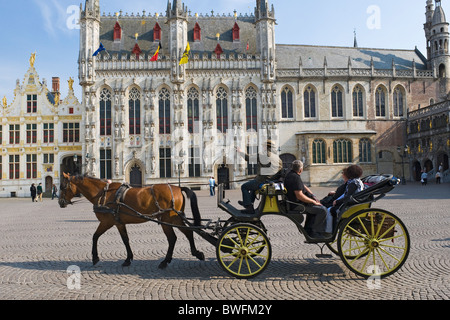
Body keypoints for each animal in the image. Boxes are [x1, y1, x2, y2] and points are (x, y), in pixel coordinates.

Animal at [59, 172, 206, 268]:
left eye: (62, 186)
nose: (60, 202)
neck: (102, 194)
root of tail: (178, 187)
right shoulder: (119, 223)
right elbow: (126, 240)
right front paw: (128, 258)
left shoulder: (108, 222)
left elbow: (95, 236)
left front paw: (95, 258)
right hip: (175, 219)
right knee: (188, 233)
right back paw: (196, 254)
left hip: (168, 219)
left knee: (173, 238)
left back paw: (165, 261)